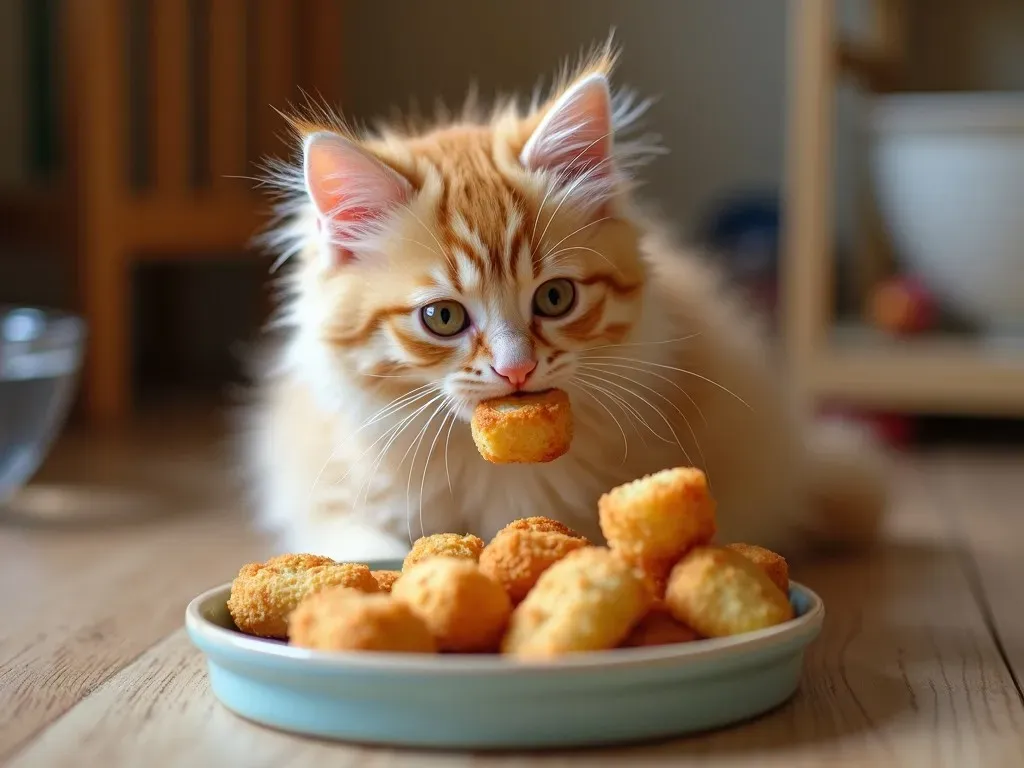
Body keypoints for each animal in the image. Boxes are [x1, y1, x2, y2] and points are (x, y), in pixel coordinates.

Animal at [241, 48, 888, 565]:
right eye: (443, 317)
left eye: (555, 298)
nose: (516, 369)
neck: (493, 470)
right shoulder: (320, 487)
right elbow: (353, 538)